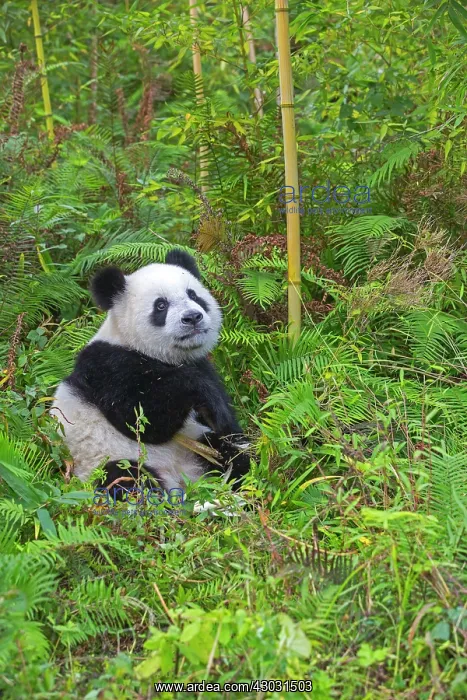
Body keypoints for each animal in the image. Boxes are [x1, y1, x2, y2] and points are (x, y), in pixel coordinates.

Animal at [51, 249, 250, 494]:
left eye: (193, 295)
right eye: (161, 305)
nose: (193, 317)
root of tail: (183, 480)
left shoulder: (199, 363)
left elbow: (227, 426)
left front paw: (220, 415)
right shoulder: (107, 368)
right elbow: (143, 418)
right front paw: (204, 397)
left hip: (197, 444)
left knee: (226, 453)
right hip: (106, 461)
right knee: (124, 478)